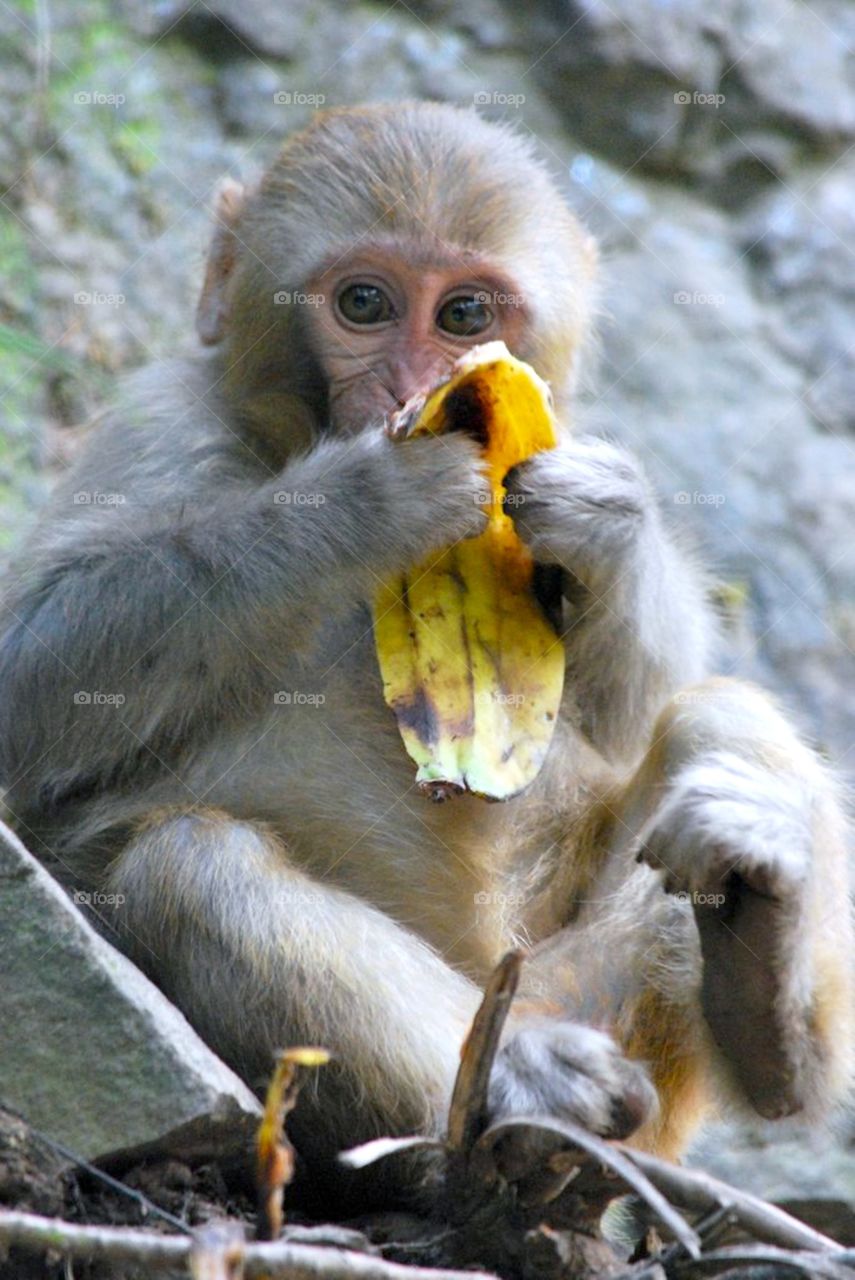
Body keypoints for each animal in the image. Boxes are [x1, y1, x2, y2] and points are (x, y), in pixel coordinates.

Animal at [0, 102, 851, 1207]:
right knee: (189, 867)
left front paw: (611, 523)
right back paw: (513, 1092)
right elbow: (31, 677)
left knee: (716, 715)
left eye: (463, 313)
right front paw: (359, 500)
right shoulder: (164, 420)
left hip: (601, 1013)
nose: (412, 384)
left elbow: (627, 717)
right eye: (363, 302)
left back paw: (765, 992)